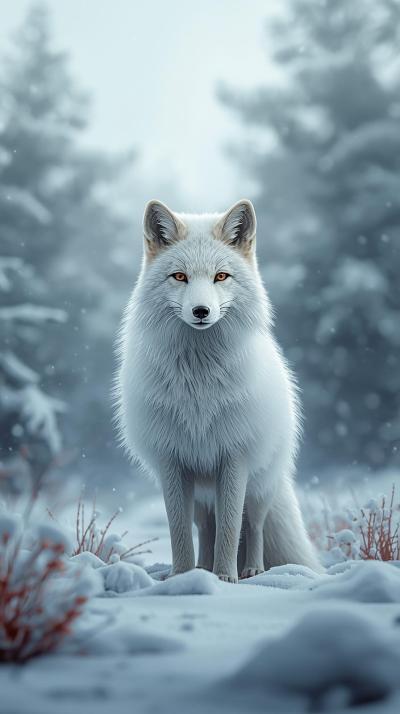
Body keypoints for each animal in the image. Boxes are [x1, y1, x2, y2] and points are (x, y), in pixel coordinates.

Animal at [115, 199, 321, 582]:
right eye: (180, 276)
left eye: (220, 276)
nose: (201, 311)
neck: (199, 383)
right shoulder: (172, 461)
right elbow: (180, 531)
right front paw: (183, 577)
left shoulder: (233, 458)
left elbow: (230, 528)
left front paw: (226, 578)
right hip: (201, 496)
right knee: (205, 528)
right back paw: (202, 567)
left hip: (259, 488)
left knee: (253, 525)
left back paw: (252, 569)